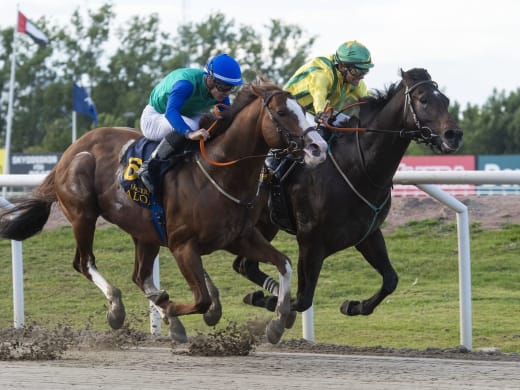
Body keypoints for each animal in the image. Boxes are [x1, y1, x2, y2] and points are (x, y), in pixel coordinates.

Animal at [0, 80, 328, 342]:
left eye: (305, 112)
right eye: (283, 113)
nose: (319, 147)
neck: (219, 174)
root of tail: (70, 151)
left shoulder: (240, 237)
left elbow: (284, 263)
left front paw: (279, 321)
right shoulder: (182, 244)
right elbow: (201, 299)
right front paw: (174, 311)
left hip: (143, 232)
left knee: (139, 275)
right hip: (83, 214)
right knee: (85, 262)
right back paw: (117, 308)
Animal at [232, 69, 464, 320]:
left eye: (446, 100)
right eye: (423, 99)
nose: (454, 135)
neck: (358, 168)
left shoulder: (367, 234)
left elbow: (391, 279)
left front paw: (354, 305)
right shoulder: (310, 240)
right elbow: (303, 299)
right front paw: (273, 301)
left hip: (265, 225)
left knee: (244, 265)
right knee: (245, 265)